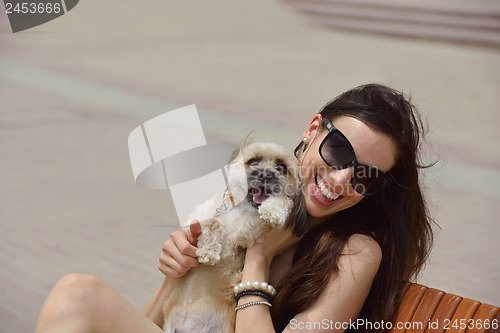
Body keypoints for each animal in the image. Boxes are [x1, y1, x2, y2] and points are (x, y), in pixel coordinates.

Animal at [162, 141, 308, 330]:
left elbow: (283, 200)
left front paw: (272, 210)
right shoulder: (198, 219)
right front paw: (208, 252)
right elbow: (213, 222)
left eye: (281, 167)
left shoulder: (250, 230)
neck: (241, 211)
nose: (265, 174)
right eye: (253, 161)